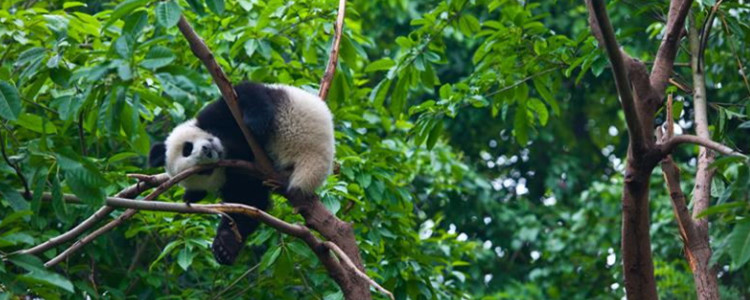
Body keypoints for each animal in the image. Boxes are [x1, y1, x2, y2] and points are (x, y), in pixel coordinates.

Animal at [149, 81, 334, 264]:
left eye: (186, 148)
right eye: (204, 171)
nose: (207, 151)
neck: (227, 147)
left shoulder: (217, 115)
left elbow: (245, 93)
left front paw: (256, 123)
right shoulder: (238, 177)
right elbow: (248, 202)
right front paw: (224, 247)